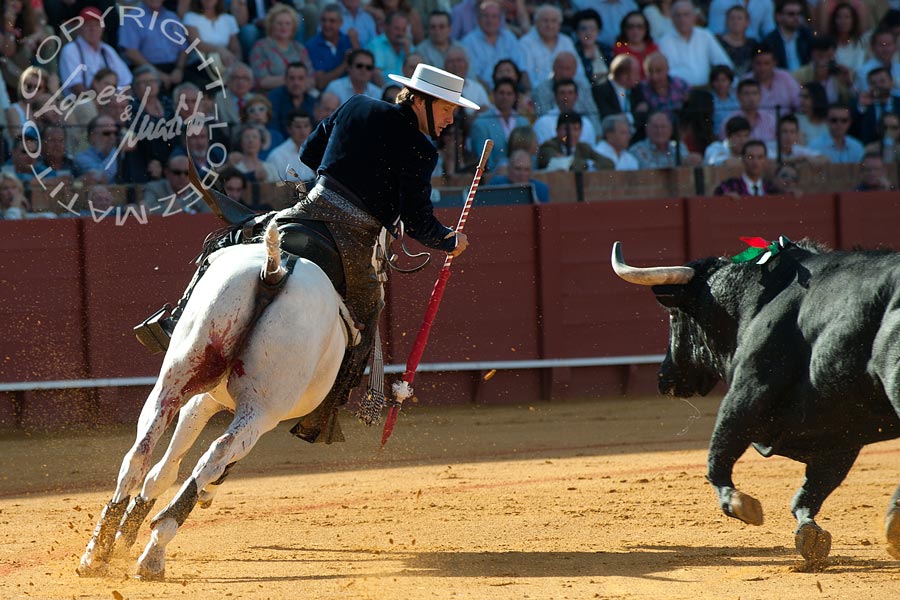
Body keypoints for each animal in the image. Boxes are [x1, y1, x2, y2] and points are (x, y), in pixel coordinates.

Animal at [77, 223, 364, 580]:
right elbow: (187, 467)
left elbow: (164, 469)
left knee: (140, 452)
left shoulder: (202, 399)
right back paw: (156, 547)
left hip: (177, 376)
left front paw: (122, 537)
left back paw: (97, 552)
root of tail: (274, 271)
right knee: (216, 455)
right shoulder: (217, 405)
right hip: (260, 410)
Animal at [612, 239, 900, 568]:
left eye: (674, 316)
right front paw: (811, 536)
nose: (664, 378)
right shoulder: (842, 430)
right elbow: (810, 491)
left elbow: (719, 451)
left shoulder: (749, 390)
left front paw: (736, 502)